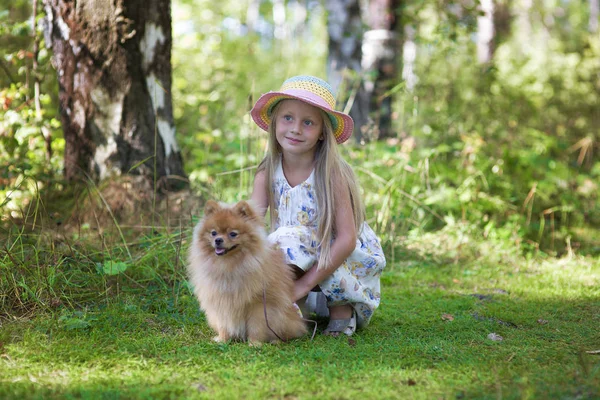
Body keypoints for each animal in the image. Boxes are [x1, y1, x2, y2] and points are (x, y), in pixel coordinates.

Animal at [188, 200, 308, 344]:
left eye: (233, 234)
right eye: (213, 233)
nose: (218, 240)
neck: (228, 265)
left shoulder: (258, 304)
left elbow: (256, 326)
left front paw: (254, 343)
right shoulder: (220, 301)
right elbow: (223, 323)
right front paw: (223, 339)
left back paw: (276, 340)